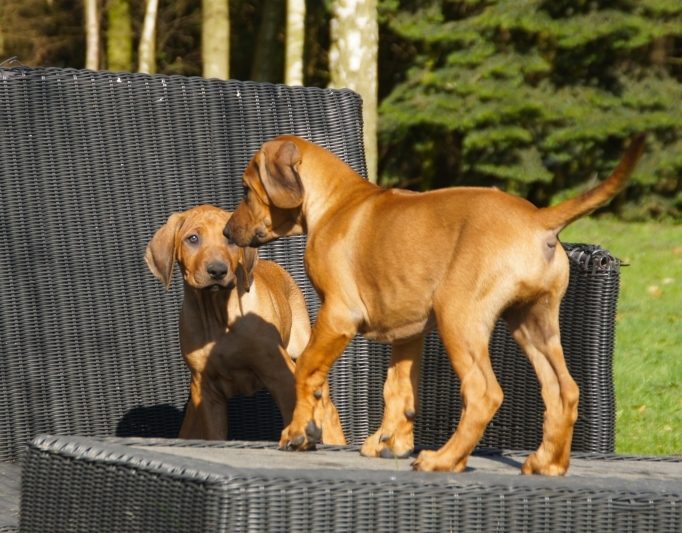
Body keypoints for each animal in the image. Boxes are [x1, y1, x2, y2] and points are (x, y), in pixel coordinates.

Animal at [144, 202, 346, 442]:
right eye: (193, 238)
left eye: (230, 240)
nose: (218, 270)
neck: (218, 318)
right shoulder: (206, 391)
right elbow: (214, 436)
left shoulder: (281, 376)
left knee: (328, 408)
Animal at [223, 133, 644, 474]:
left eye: (245, 190)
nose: (227, 232)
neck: (337, 202)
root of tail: (537, 219)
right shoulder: (407, 333)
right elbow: (398, 390)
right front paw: (390, 443)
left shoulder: (338, 314)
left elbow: (305, 371)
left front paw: (298, 433)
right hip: (532, 322)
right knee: (564, 391)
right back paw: (548, 463)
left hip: (458, 317)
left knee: (484, 393)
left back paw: (444, 460)